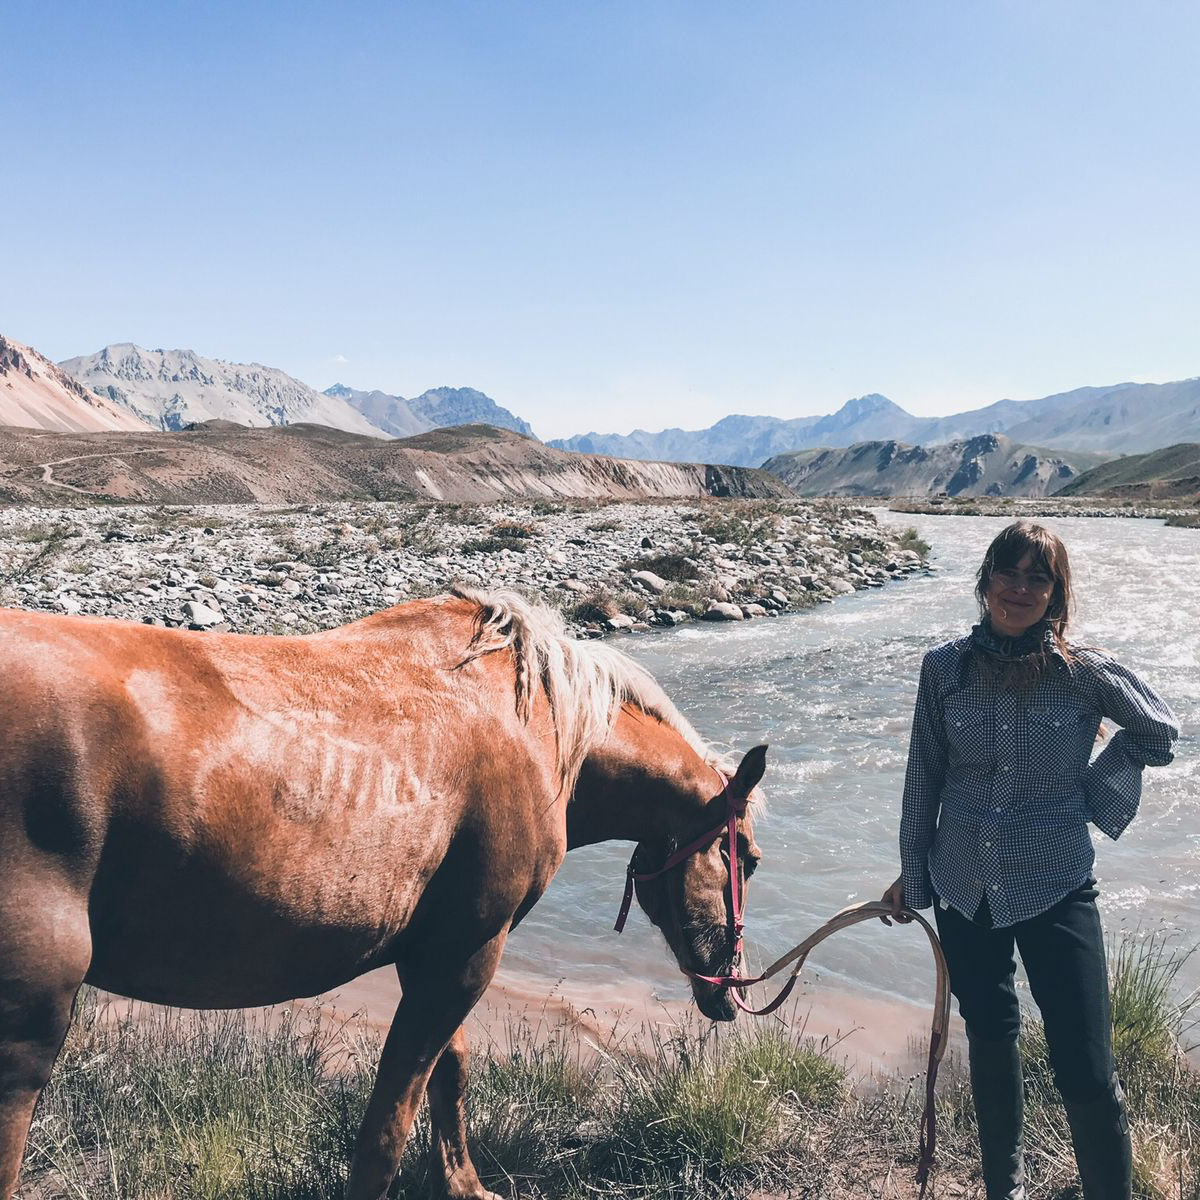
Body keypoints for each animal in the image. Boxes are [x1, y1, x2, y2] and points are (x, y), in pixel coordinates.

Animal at [0, 588, 763, 1200]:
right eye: (750, 860)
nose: (730, 989)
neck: (535, 729)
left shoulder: (433, 953)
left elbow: (449, 1075)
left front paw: (464, 1184)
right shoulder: (468, 953)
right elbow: (389, 1127)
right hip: (32, 1020)